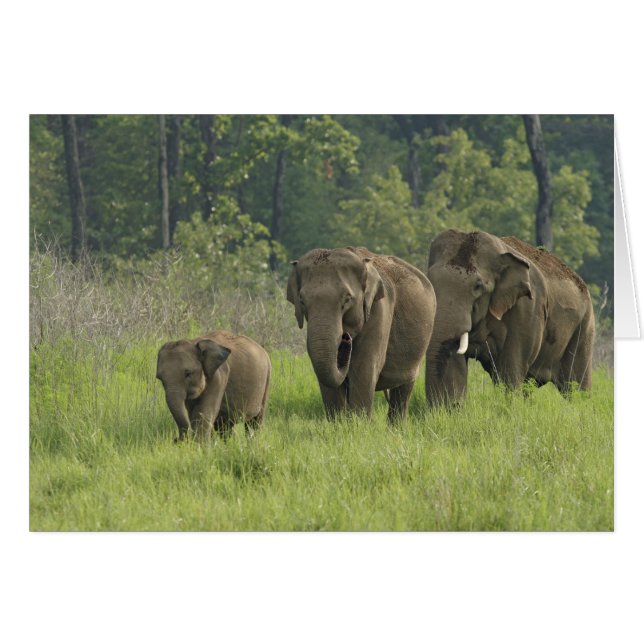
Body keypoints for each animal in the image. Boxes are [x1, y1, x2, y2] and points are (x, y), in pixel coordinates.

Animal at [286, 246, 436, 421]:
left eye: (347, 300)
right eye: (302, 301)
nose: (346, 338)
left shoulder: (379, 310)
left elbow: (364, 367)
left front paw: (359, 423)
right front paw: (338, 423)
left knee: (403, 388)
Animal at [425, 229, 595, 406]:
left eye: (478, 286)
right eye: (429, 278)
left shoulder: (527, 308)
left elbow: (511, 366)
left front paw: (510, 407)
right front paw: (448, 408)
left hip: (585, 326)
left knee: (576, 385)